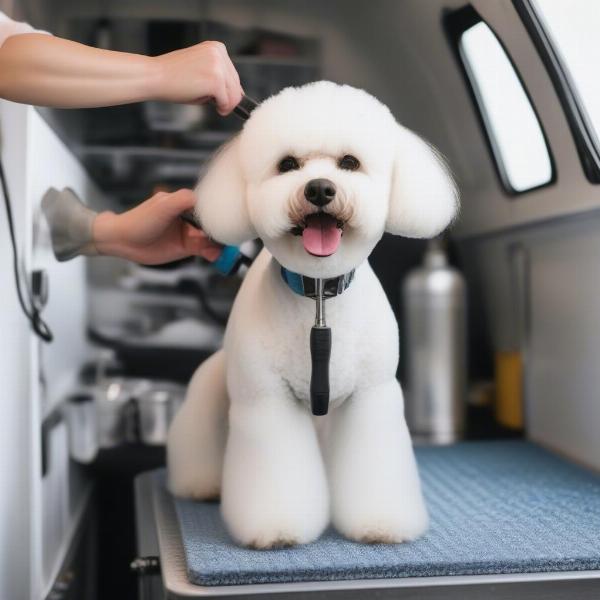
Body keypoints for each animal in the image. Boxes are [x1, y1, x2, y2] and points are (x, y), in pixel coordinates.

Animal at [166, 82, 458, 552]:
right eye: (287, 164)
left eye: (350, 162)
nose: (320, 189)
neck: (319, 295)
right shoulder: (267, 401)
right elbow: (276, 470)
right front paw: (277, 527)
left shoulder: (370, 398)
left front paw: (381, 523)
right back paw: (201, 485)